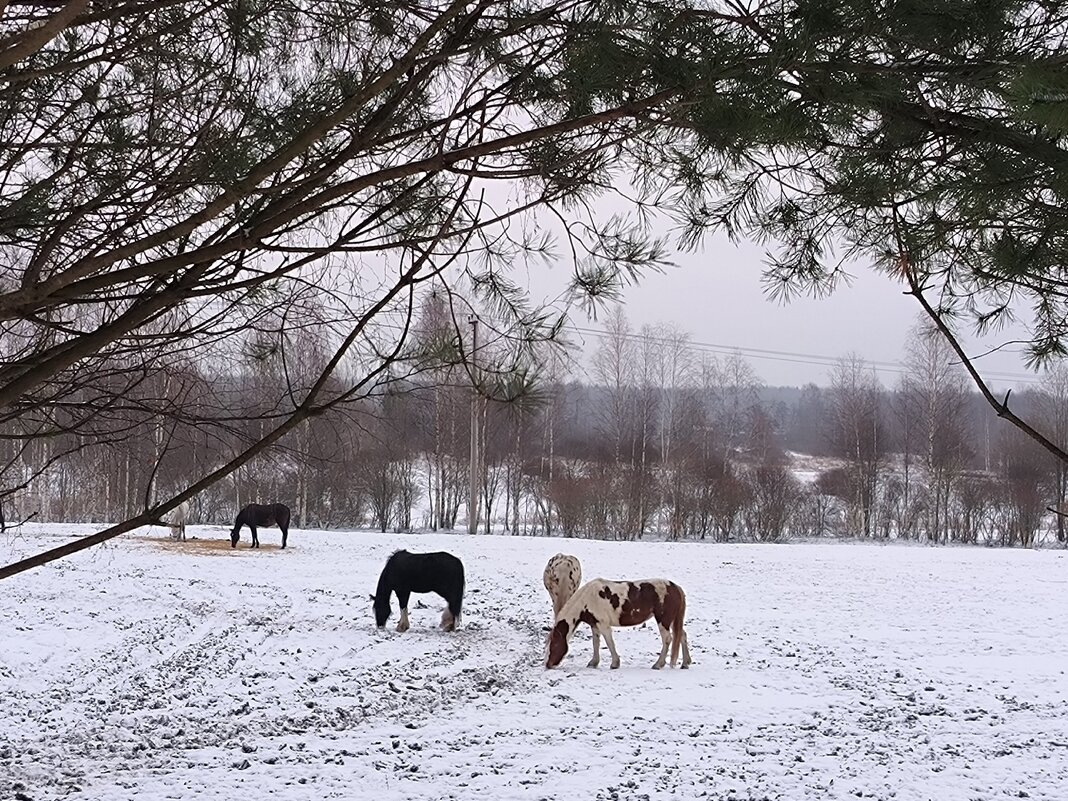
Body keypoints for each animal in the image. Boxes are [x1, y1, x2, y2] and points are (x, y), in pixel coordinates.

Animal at [546, 580, 696, 674]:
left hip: (663, 621)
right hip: (673, 621)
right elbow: (595, 643)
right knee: (681, 635)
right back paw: (685, 663)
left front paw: (614, 664)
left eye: (554, 645)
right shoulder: (595, 625)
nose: (548, 665)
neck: (588, 599)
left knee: (667, 639)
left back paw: (658, 664)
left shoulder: (603, 625)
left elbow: (609, 643)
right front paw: (593, 662)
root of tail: (675, 587)